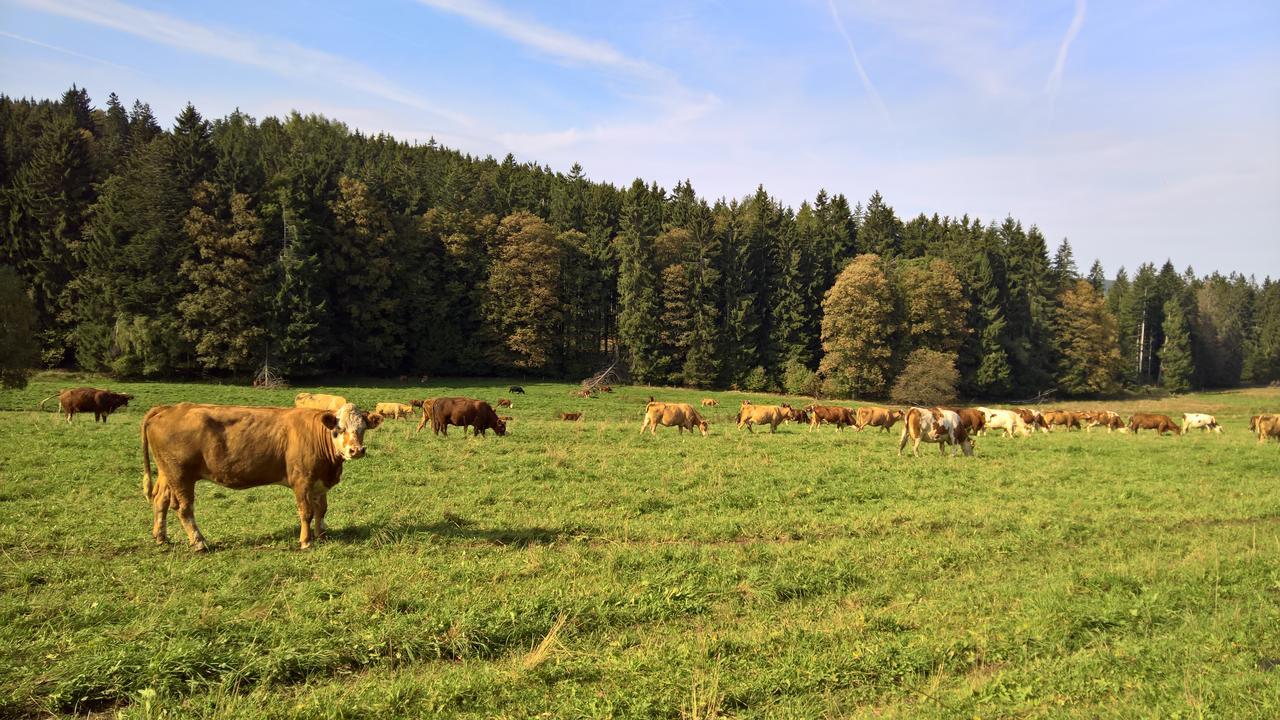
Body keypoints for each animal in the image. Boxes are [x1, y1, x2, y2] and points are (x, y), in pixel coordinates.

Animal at [140, 397, 381, 548]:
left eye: (362, 429)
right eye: (338, 429)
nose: (356, 450)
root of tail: (167, 408)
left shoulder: (320, 482)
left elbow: (322, 510)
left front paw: (322, 535)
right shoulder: (302, 481)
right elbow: (307, 512)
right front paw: (305, 541)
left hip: (167, 472)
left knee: (160, 500)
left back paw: (161, 537)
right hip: (180, 475)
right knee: (184, 508)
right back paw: (199, 542)